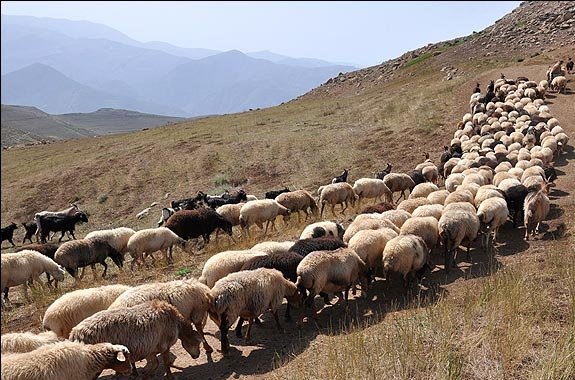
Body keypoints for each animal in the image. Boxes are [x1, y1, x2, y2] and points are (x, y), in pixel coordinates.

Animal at [71, 300, 204, 378]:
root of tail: (74, 334)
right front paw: (170, 377)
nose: (196, 356)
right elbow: (165, 363)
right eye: (197, 342)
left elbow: (155, 364)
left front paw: (144, 375)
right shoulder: (164, 345)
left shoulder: (151, 348)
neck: (176, 323)